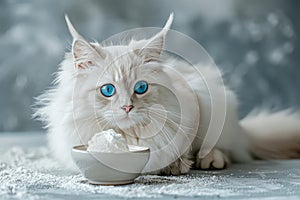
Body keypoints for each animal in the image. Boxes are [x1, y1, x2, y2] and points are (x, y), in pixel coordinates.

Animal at [35, 13, 300, 175]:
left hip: (212, 104)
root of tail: (243, 130)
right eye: (108, 90)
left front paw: (176, 165)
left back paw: (209, 160)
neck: (131, 136)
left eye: (141, 88)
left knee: (226, 150)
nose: (127, 107)